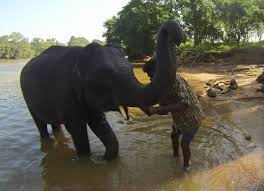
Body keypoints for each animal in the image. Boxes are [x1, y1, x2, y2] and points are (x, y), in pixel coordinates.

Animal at [20, 20, 184, 160]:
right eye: (105, 80)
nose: (178, 38)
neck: (80, 58)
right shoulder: (64, 92)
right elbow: (77, 128)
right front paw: (87, 160)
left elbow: (99, 123)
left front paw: (104, 158)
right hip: (28, 98)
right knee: (40, 123)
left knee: (55, 124)